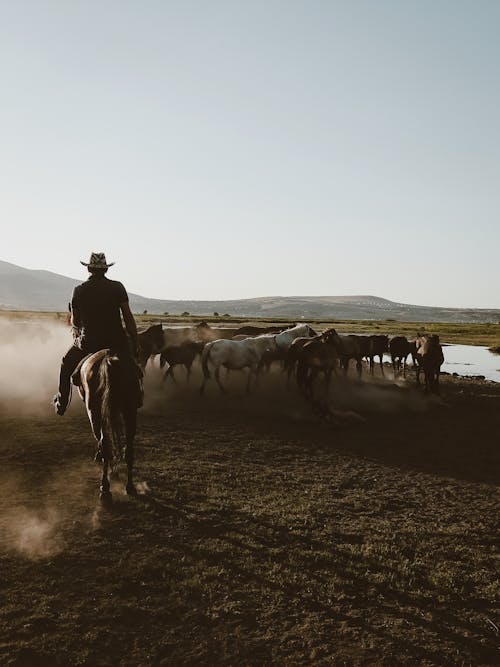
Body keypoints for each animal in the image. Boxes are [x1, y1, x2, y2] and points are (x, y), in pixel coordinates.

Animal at [75, 352, 144, 504]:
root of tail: (109, 359)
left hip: (94, 412)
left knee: (104, 443)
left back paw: (105, 488)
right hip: (129, 410)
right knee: (128, 448)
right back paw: (130, 486)